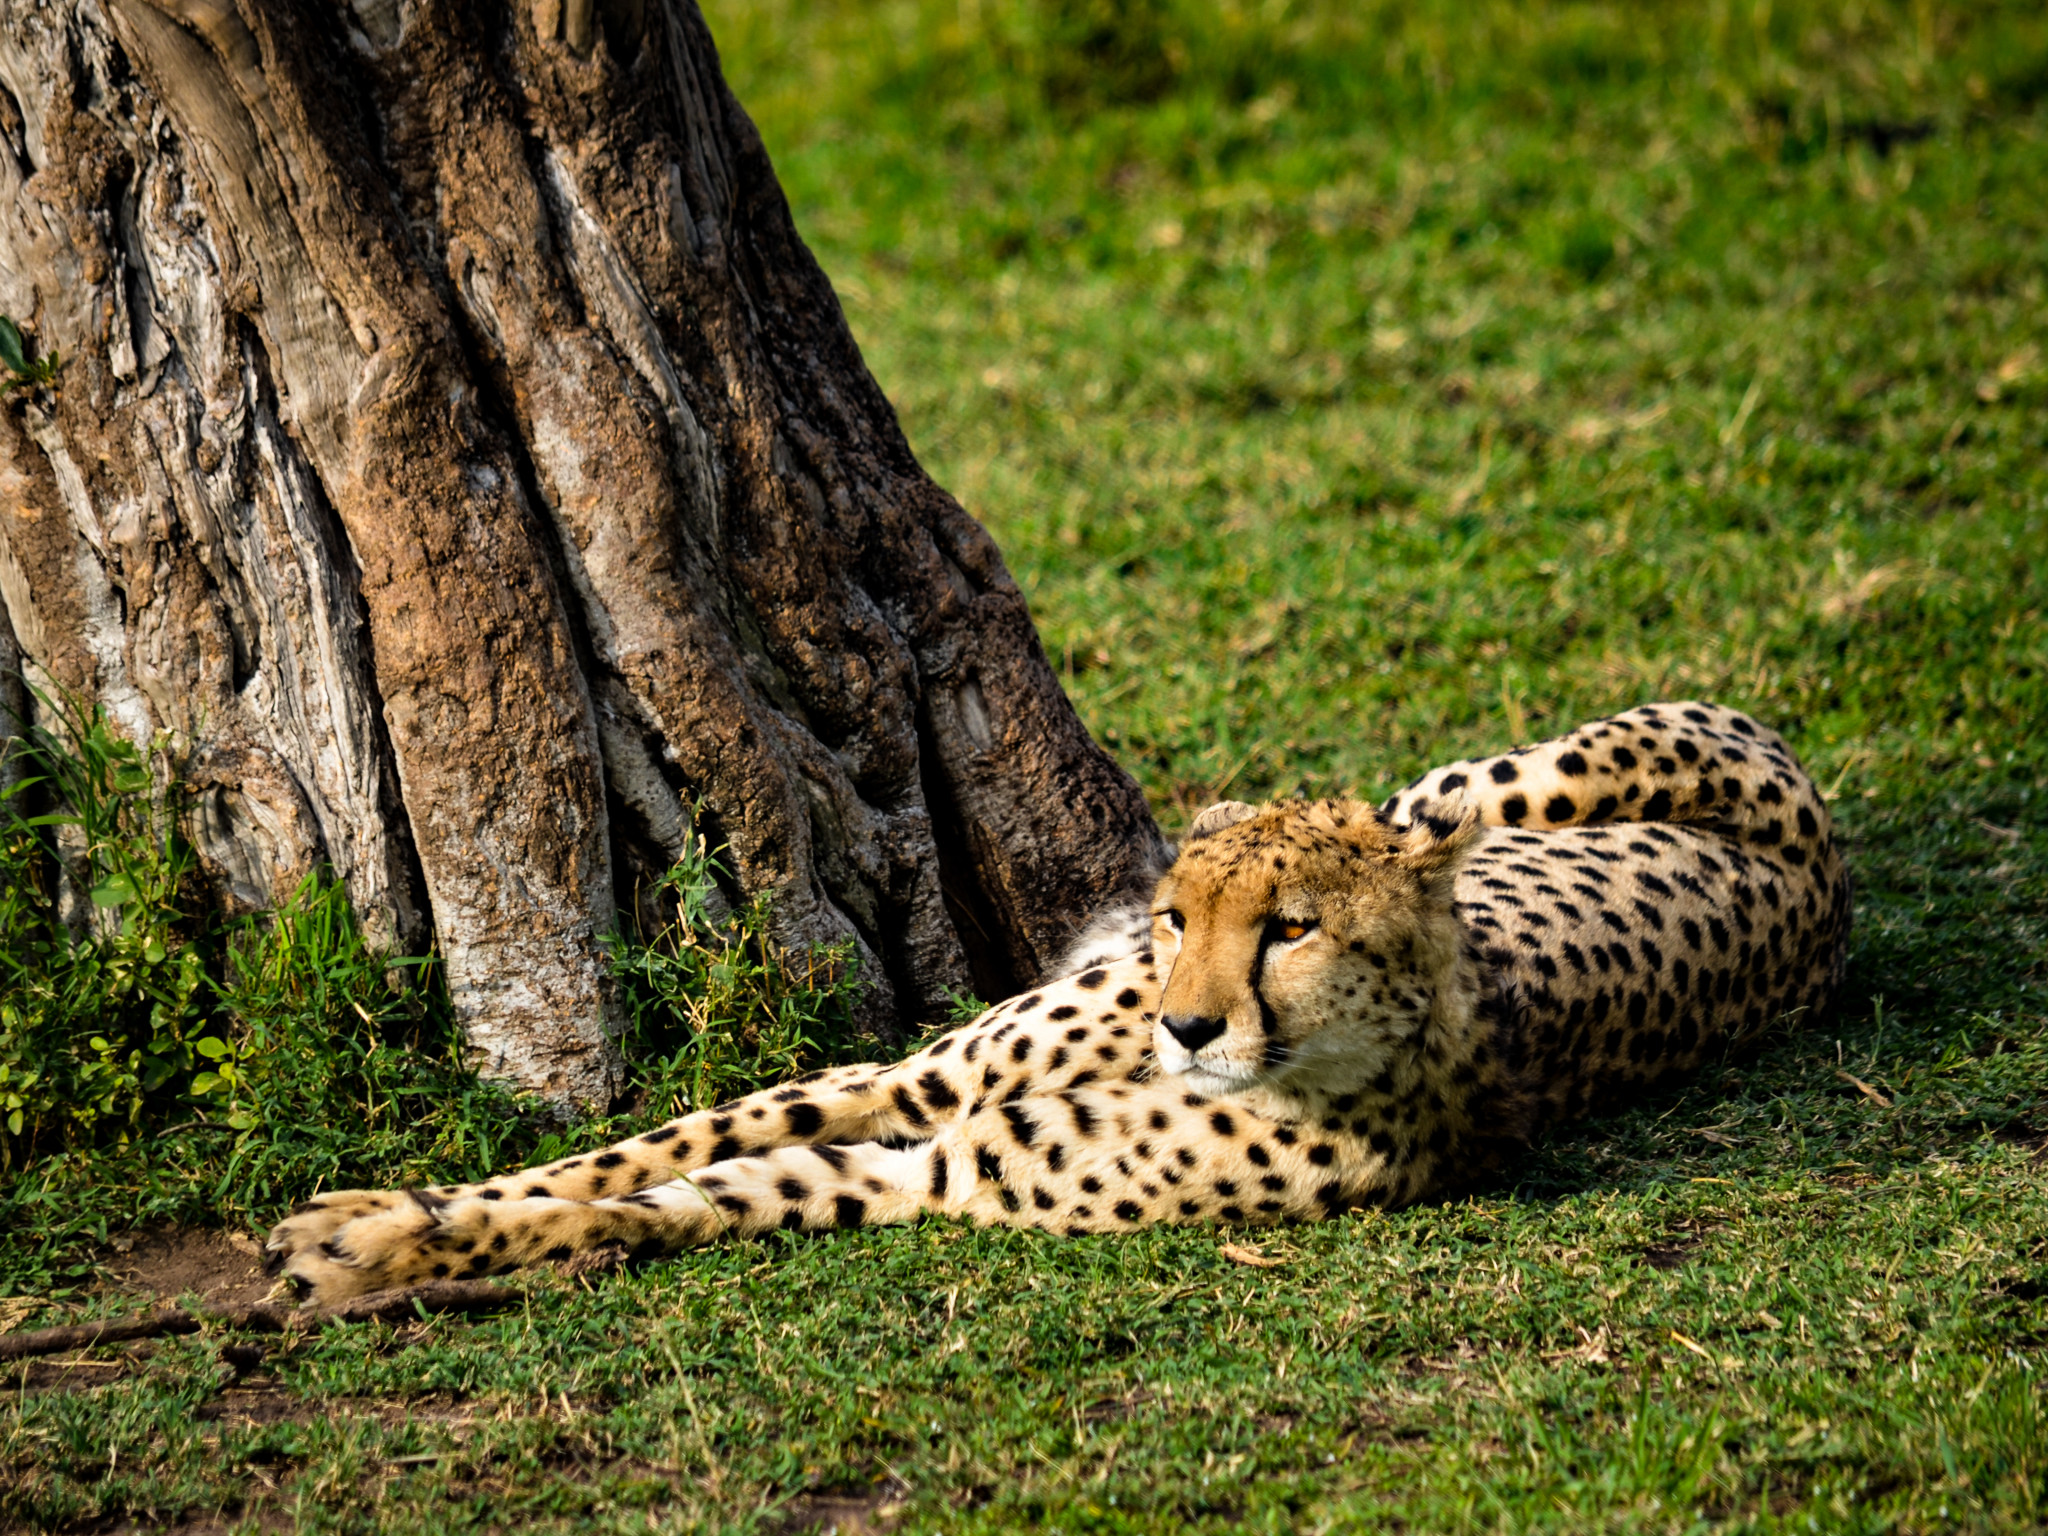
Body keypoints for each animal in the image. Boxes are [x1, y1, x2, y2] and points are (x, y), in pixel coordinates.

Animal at [267, 701, 1851, 1303]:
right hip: (1475, 786)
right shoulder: (911, 1085)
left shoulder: (939, 1165)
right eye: (1181, 917)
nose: (1186, 1021)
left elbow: (693, 1197)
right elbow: (646, 1147)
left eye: (1291, 930)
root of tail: (1829, 889)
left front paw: (370, 1257)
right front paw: (372, 1215)